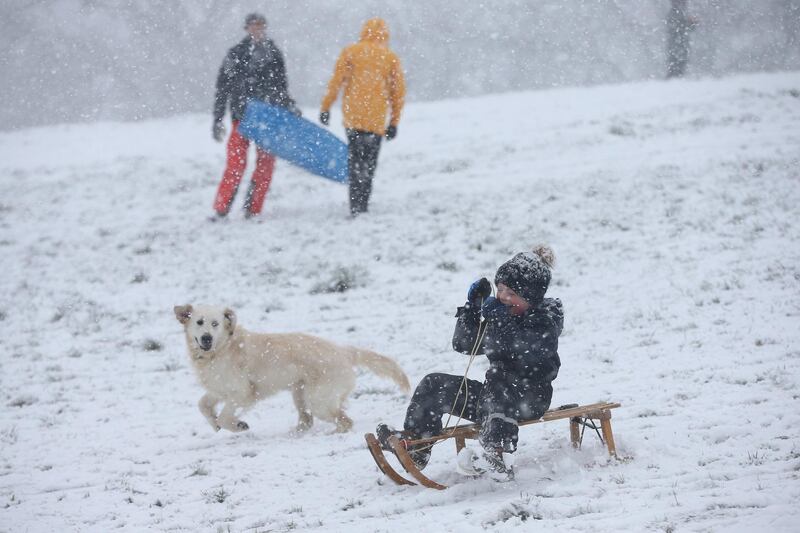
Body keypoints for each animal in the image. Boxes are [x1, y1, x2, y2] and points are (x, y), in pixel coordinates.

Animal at [176, 304, 412, 432]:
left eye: (215, 323)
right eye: (199, 322)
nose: (206, 338)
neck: (222, 348)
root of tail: (344, 351)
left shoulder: (242, 392)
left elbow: (225, 416)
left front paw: (237, 425)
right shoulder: (219, 389)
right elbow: (202, 405)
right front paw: (214, 423)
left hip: (318, 400)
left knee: (345, 421)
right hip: (300, 394)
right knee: (307, 421)